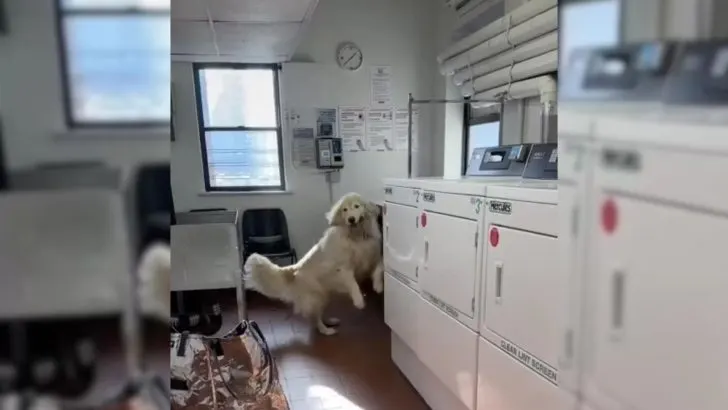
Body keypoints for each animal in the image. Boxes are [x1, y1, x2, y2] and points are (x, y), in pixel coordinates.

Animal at [243, 191, 384, 334]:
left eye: (356, 206)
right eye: (344, 210)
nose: (351, 219)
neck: (356, 236)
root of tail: (294, 268)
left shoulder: (373, 256)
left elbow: (379, 267)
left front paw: (378, 286)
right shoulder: (344, 268)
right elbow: (353, 284)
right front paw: (359, 301)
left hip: (325, 295)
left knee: (319, 314)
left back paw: (330, 321)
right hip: (316, 297)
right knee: (315, 318)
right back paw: (326, 330)